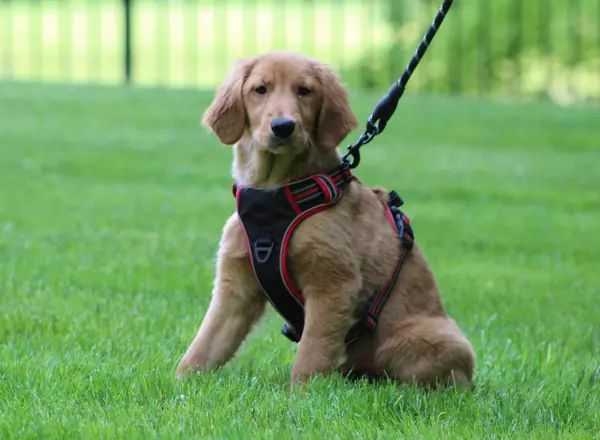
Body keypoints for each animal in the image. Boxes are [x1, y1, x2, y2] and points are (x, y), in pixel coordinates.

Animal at [176, 49, 476, 390]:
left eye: (305, 91)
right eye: (260, 89)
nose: (283, 127)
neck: (274, 195)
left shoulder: (332, 284)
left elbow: (313, 351)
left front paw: (302, 397)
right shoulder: (235, 288)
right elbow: (205, 344)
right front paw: (179, 386)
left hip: (425, 340)